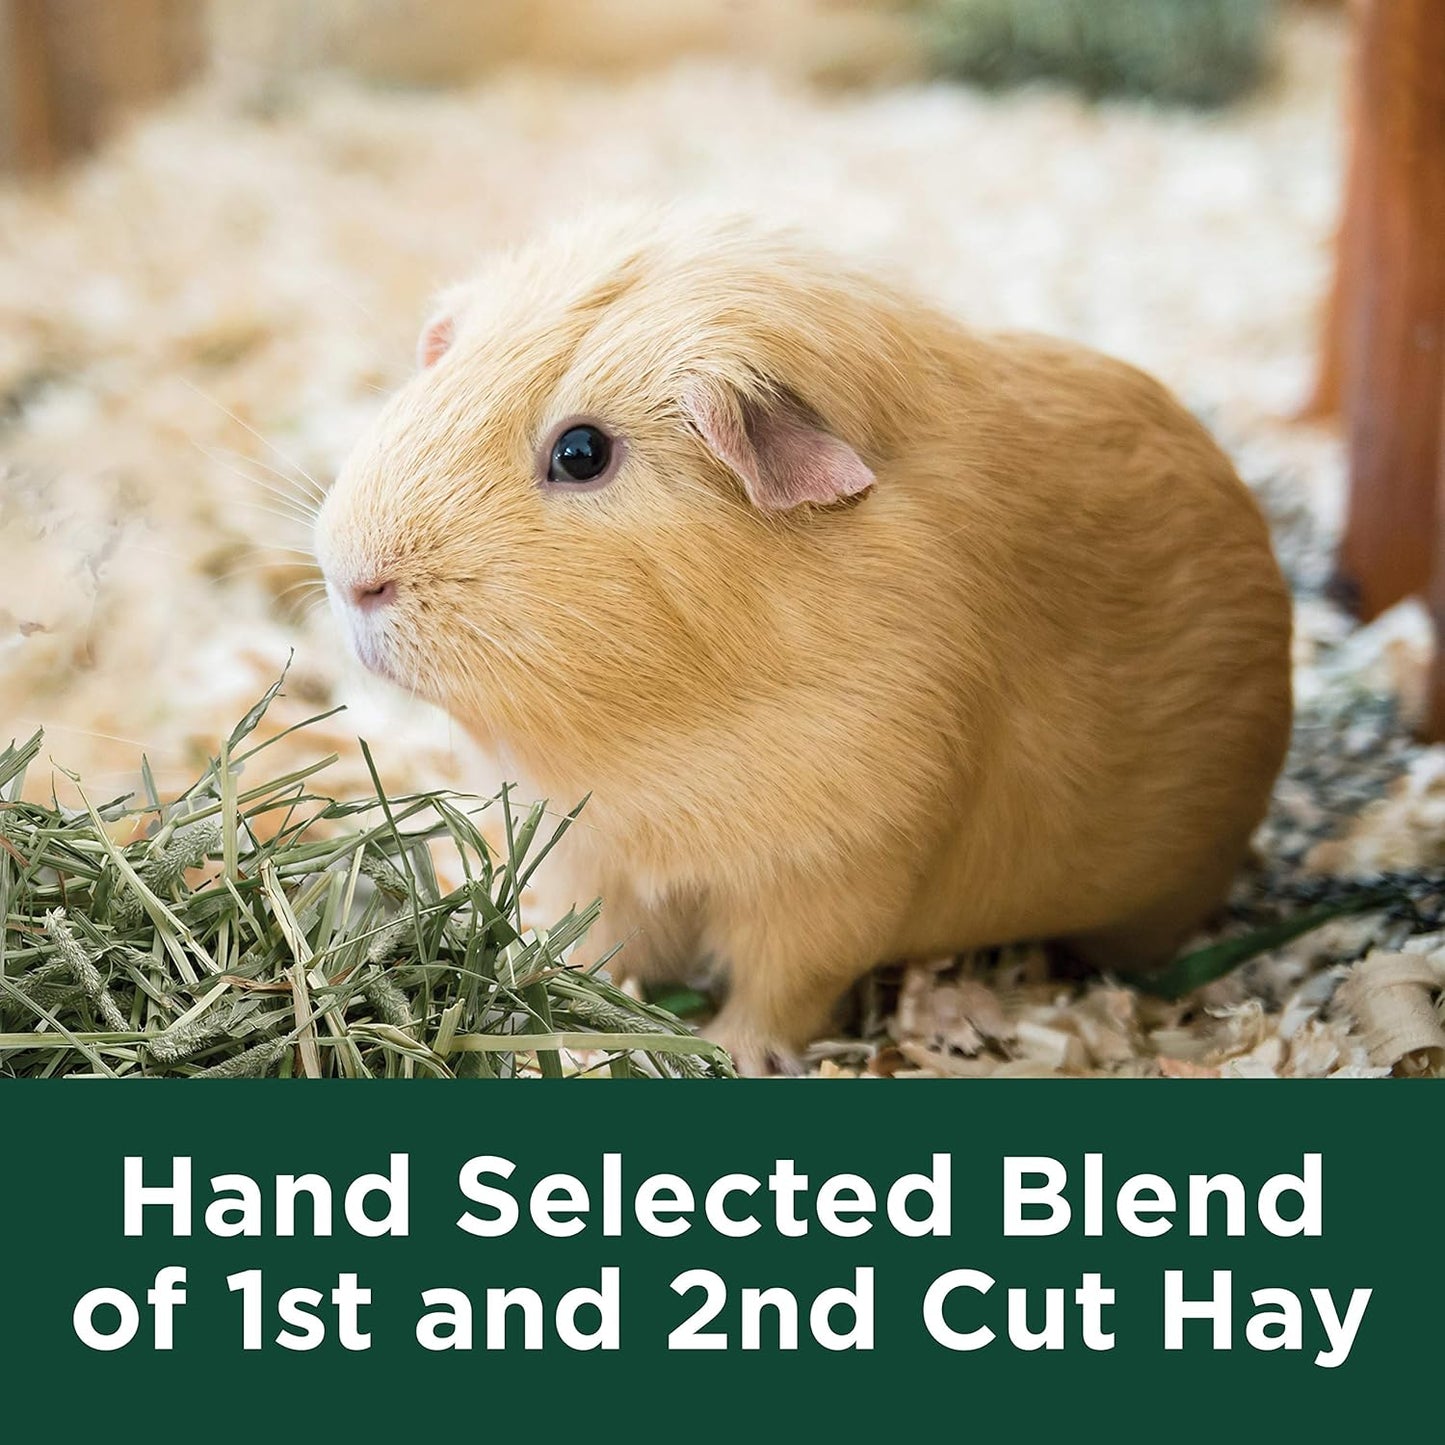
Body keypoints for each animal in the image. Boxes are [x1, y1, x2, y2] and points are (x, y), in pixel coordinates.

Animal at [314, 211, 1292, 1075]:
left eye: (582, 452)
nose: (351, 577)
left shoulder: (831, 872)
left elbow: (781, 987)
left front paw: (735, 1053)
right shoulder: (594, 854)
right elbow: (602, 946)